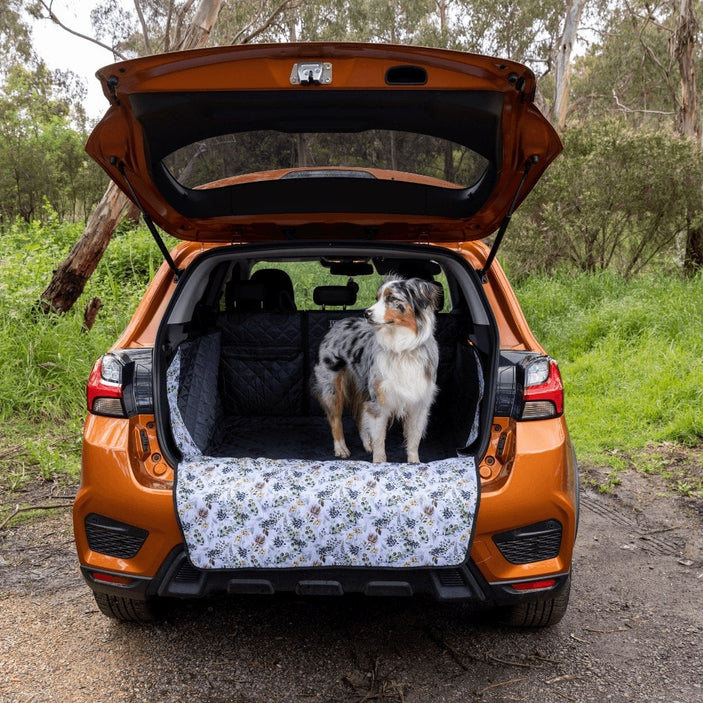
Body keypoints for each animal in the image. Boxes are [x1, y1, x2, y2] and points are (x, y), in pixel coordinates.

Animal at [314, 278, 440, 464]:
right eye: (377, 298)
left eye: (391, 298)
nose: (366, 313)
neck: (402, 348)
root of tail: (339, 322)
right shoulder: (380, 400)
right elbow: (380, 438)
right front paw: (379, 463)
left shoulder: (419, 402)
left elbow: (414, 438)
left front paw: (414, 462)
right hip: (332, 386)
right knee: (335, 418)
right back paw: (341, 448)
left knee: (359, 415)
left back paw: (367, 444)